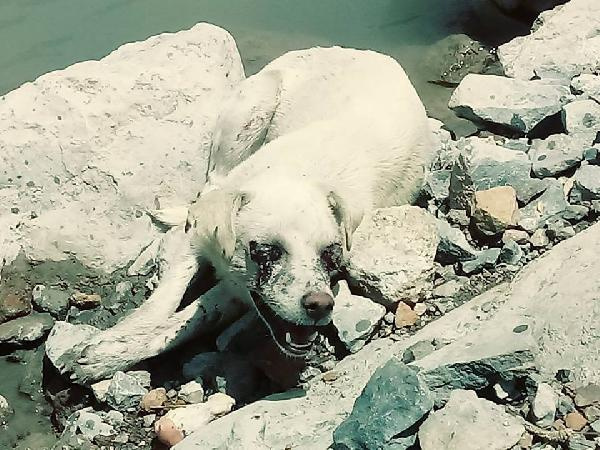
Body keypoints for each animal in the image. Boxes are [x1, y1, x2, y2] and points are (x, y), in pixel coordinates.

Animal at [69, 48, 432, 380]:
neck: (291, 174)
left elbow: (189, 320)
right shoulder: (199, 235)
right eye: (266, 251)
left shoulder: (235, 292)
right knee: (208, 184)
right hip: (252, 108)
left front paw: (113, 355)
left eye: (331, 255)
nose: (320, 305)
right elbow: (163, 299)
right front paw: (117, 340)